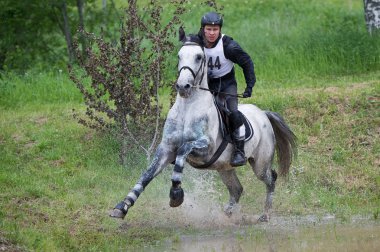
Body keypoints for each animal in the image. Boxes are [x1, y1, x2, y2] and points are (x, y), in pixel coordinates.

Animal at [110, 30, 296, 222]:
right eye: (179, 56)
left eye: (199, 57)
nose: (182, 86)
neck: (188, 107)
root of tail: (263, 114)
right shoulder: (166, 148)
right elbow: (146, 175)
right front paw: (122, 206)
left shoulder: (205, 149)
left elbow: (182, 151)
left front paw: (176, 194)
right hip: (224, 167)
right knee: (237, 189)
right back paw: (228, 213)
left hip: (260, 163)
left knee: (270, 179)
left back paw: (265, 215)